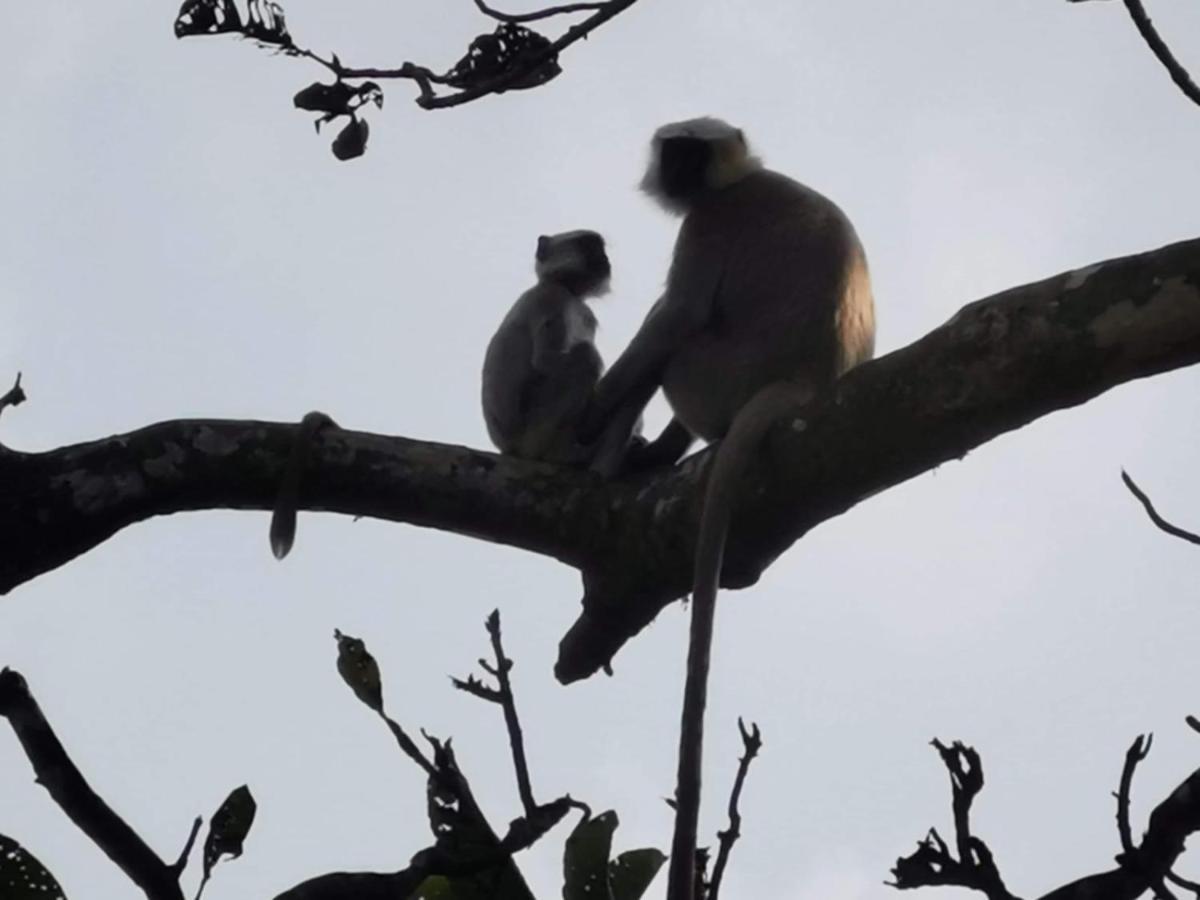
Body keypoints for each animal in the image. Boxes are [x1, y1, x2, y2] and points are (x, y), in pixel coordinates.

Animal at [482, 229, 643, 475]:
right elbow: (544, 360)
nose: (605, 258)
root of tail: (507, 447)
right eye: (589, 245)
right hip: (534, 432)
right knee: (585, 357)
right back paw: (565, 454)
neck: (568, 288)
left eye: (600, 248)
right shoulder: (551, 298)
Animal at [585, 118, 878, 900]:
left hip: (712, 377)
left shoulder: (710, 223)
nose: (679, 171)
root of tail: (807, 383)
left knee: (676, 335)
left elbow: (678, 315)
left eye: (693, 152)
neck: (740, 179)